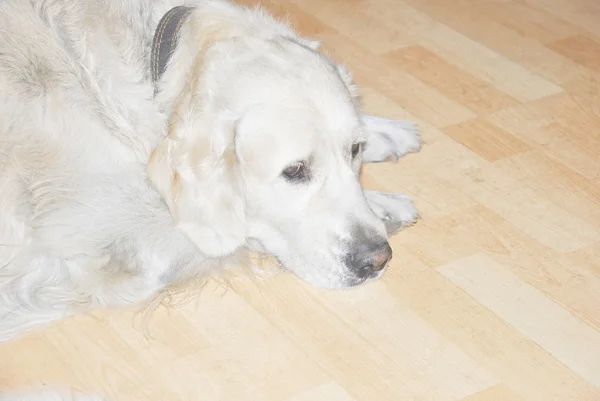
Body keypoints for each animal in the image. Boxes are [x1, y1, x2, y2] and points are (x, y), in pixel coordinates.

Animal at [0, 0, 422, 344]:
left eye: (354, 150)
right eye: (295, 170)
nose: (376, 259)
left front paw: (383, 132)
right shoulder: (121, 239)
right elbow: (238, 230)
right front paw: (385, 205)